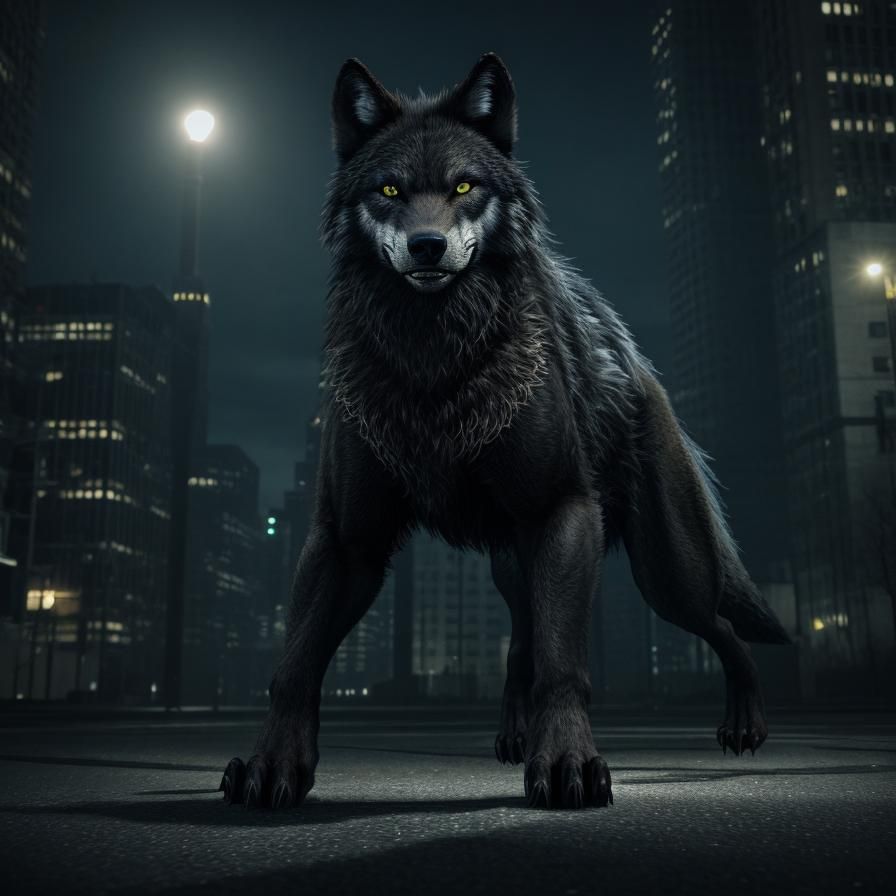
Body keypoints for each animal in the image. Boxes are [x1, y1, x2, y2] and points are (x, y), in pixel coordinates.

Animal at [220, 53, 790, 811]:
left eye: (464, 185)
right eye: (389, 189)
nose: (426, 245)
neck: (430, 353)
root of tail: (640, 367)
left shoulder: (560, 511)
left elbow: (563, 663)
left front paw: (569, 763)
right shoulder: (345, 538)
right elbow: (295, 662)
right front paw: (271, 765)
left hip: (667, 576)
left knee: (723, 628)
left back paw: (746, 723)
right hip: (514, 566)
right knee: (522, 640)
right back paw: (516, 736)